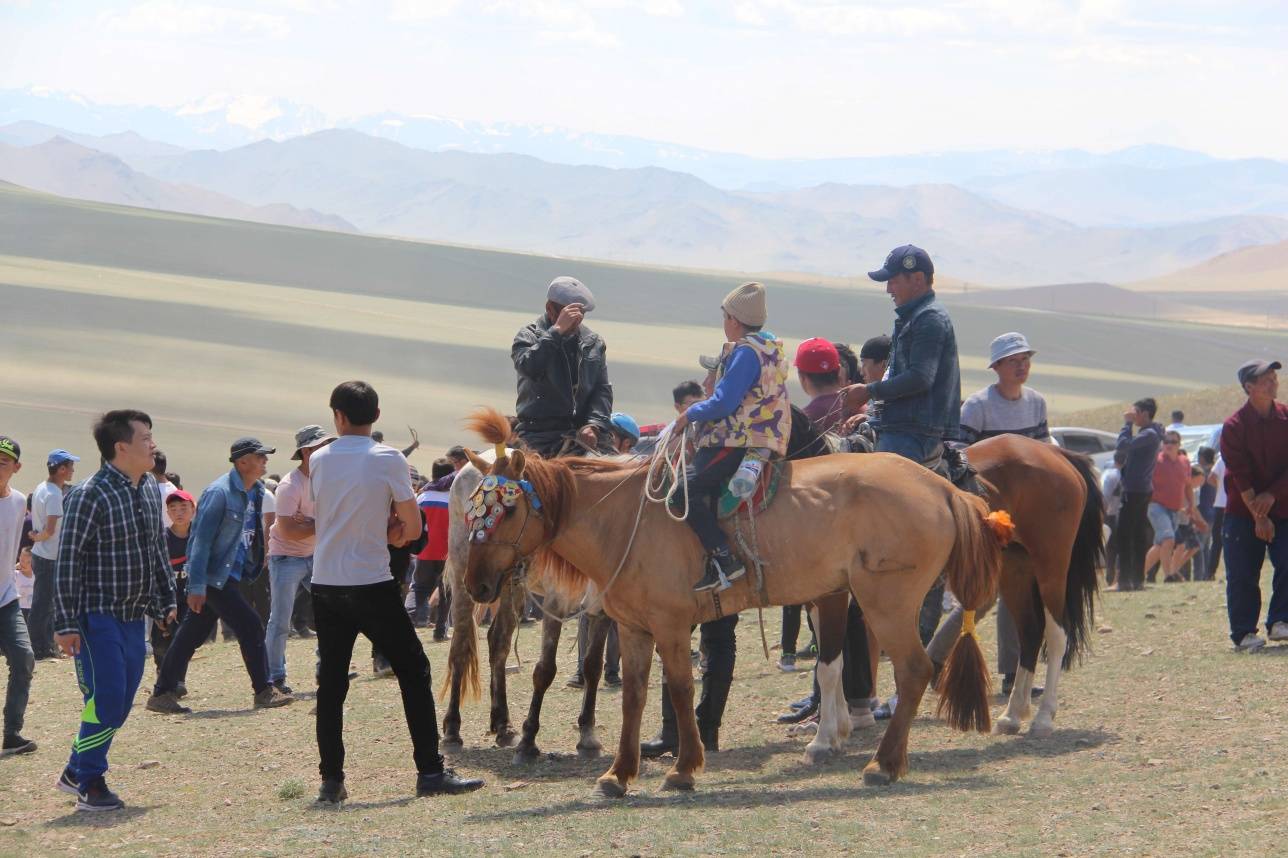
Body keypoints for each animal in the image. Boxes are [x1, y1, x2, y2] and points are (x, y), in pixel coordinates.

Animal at [458, 404, 1009, 793]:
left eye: (507, 510)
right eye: (471, 509)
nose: (476, 585)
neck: (625, 518)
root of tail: (943, 489)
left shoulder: (672, 625)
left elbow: (682, 689)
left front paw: (684, 767)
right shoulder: (634, 628)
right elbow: (635, 694)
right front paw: (619, 773)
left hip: (888, 602)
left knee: (915, 670)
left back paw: (884, 764)